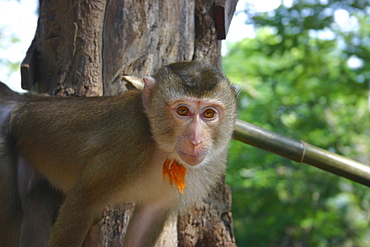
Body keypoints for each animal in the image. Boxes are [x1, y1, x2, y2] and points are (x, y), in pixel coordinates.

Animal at [0, 60, 237, 246]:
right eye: (182, 110)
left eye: (209, 114)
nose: (195, 140)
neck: (162, 150)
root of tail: (21, 101)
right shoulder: (128, 144)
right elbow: (82, 201)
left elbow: (146, 221)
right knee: (10, 213)